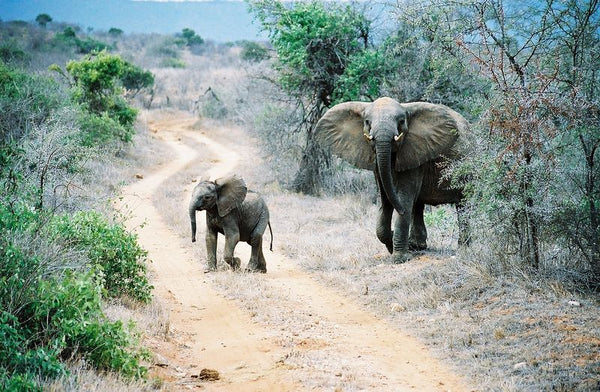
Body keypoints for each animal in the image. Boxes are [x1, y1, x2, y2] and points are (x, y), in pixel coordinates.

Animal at [314, 97, 468, 264]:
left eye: (401, 121)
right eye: (367, 122)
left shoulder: (414, 153)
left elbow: (403, 198)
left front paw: (400, 258)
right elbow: (385, 199)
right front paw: (394, 243)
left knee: (463, 204)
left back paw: (464, 249)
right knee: (418, 206)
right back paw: (417, 246)